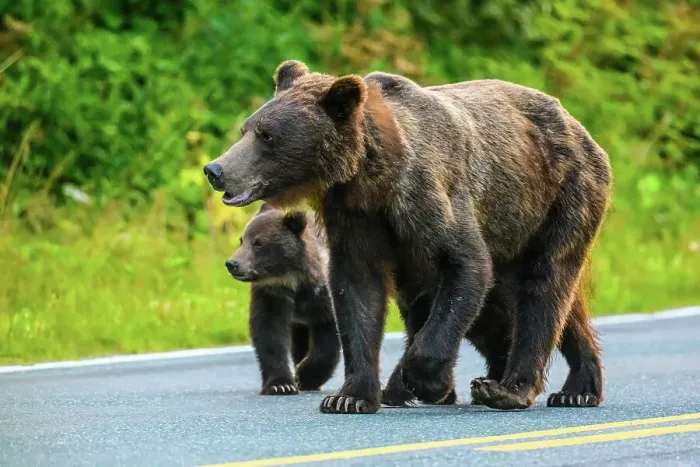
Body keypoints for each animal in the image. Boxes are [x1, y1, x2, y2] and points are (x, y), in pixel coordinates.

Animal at [225, 202, 341, 395]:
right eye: (242, 240)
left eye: (258, 242)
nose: (232, 263)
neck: (293, 281)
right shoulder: (271, 295)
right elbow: (270, 333)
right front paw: (281, 384)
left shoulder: (322, 297)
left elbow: (328, 335)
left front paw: (305, 376)